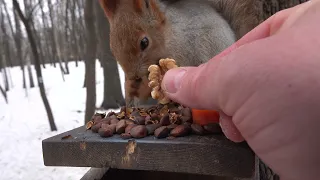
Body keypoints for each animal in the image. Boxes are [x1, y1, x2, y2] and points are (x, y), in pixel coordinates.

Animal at [98, 0, 262, 107]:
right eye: (112, 47)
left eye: (144, 42)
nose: (134, 76)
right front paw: (131, 87)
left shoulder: (185, 50)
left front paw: (145, 85)